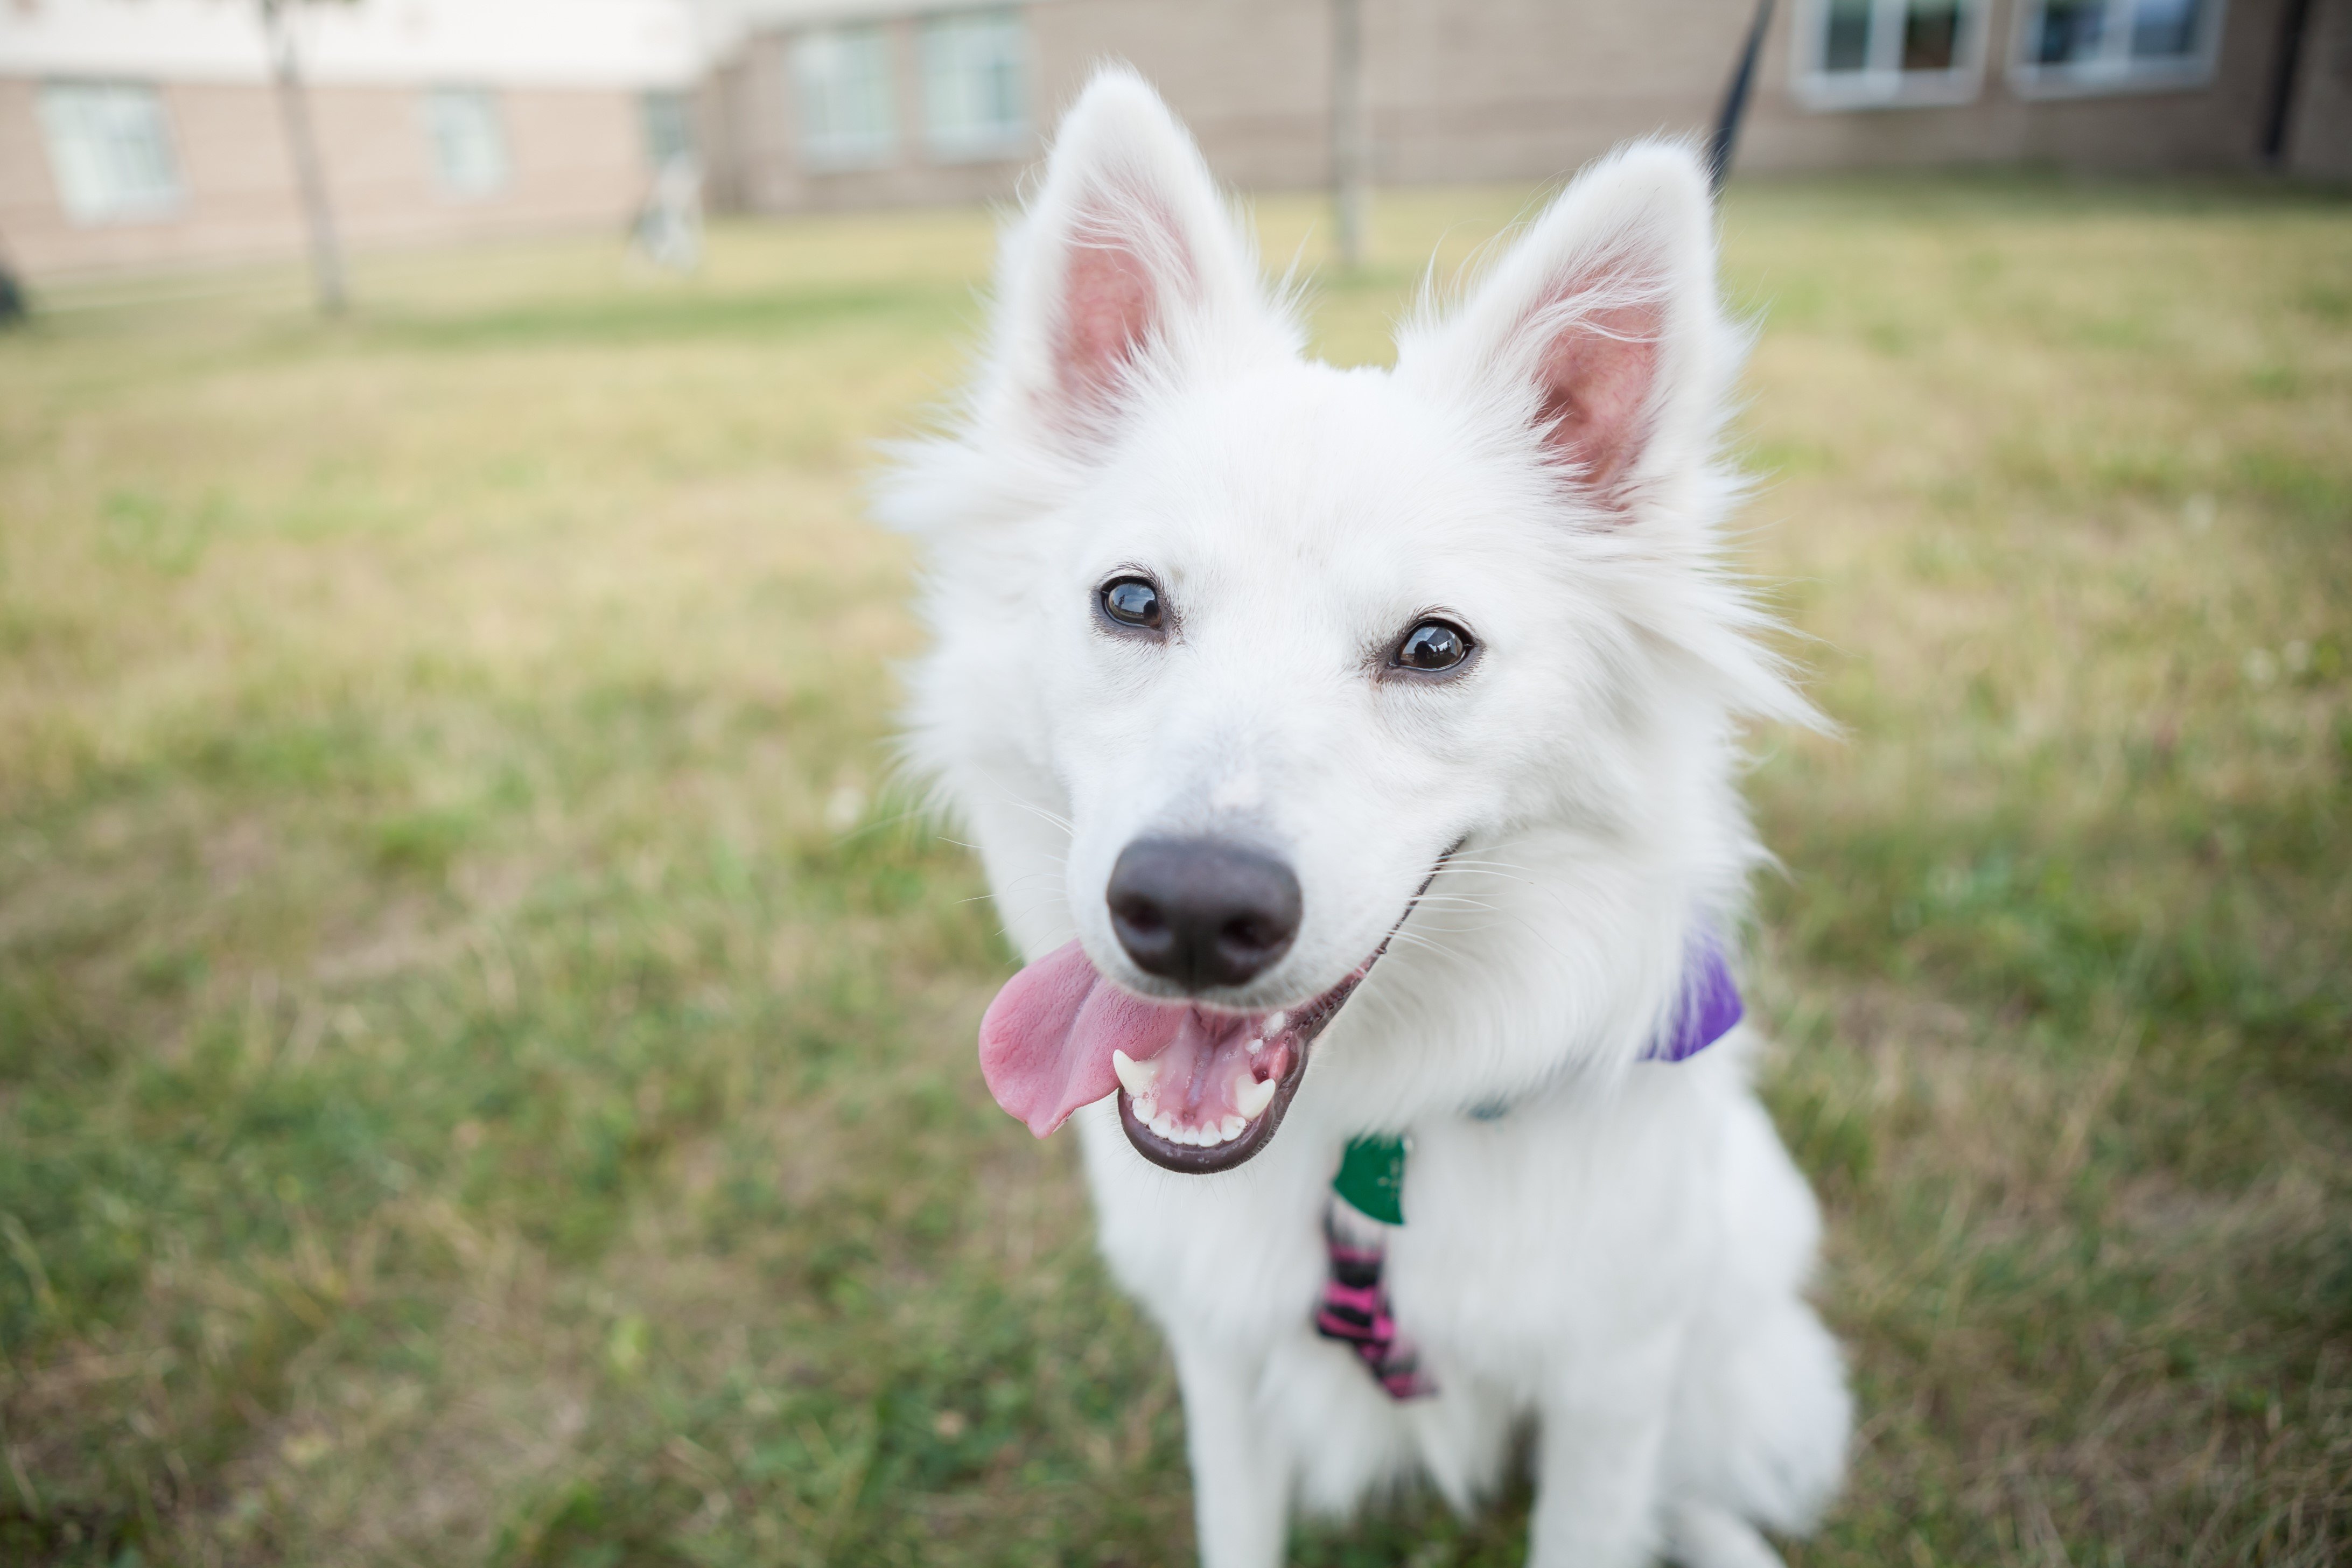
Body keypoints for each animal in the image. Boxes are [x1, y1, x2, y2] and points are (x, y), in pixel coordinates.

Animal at [884, 67, 1853, 1568]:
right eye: (1131, 601)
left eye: (1434, 646)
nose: (1189, 914)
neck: (1363, 1154)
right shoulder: (1221, 1364)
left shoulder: (1614, 1382)